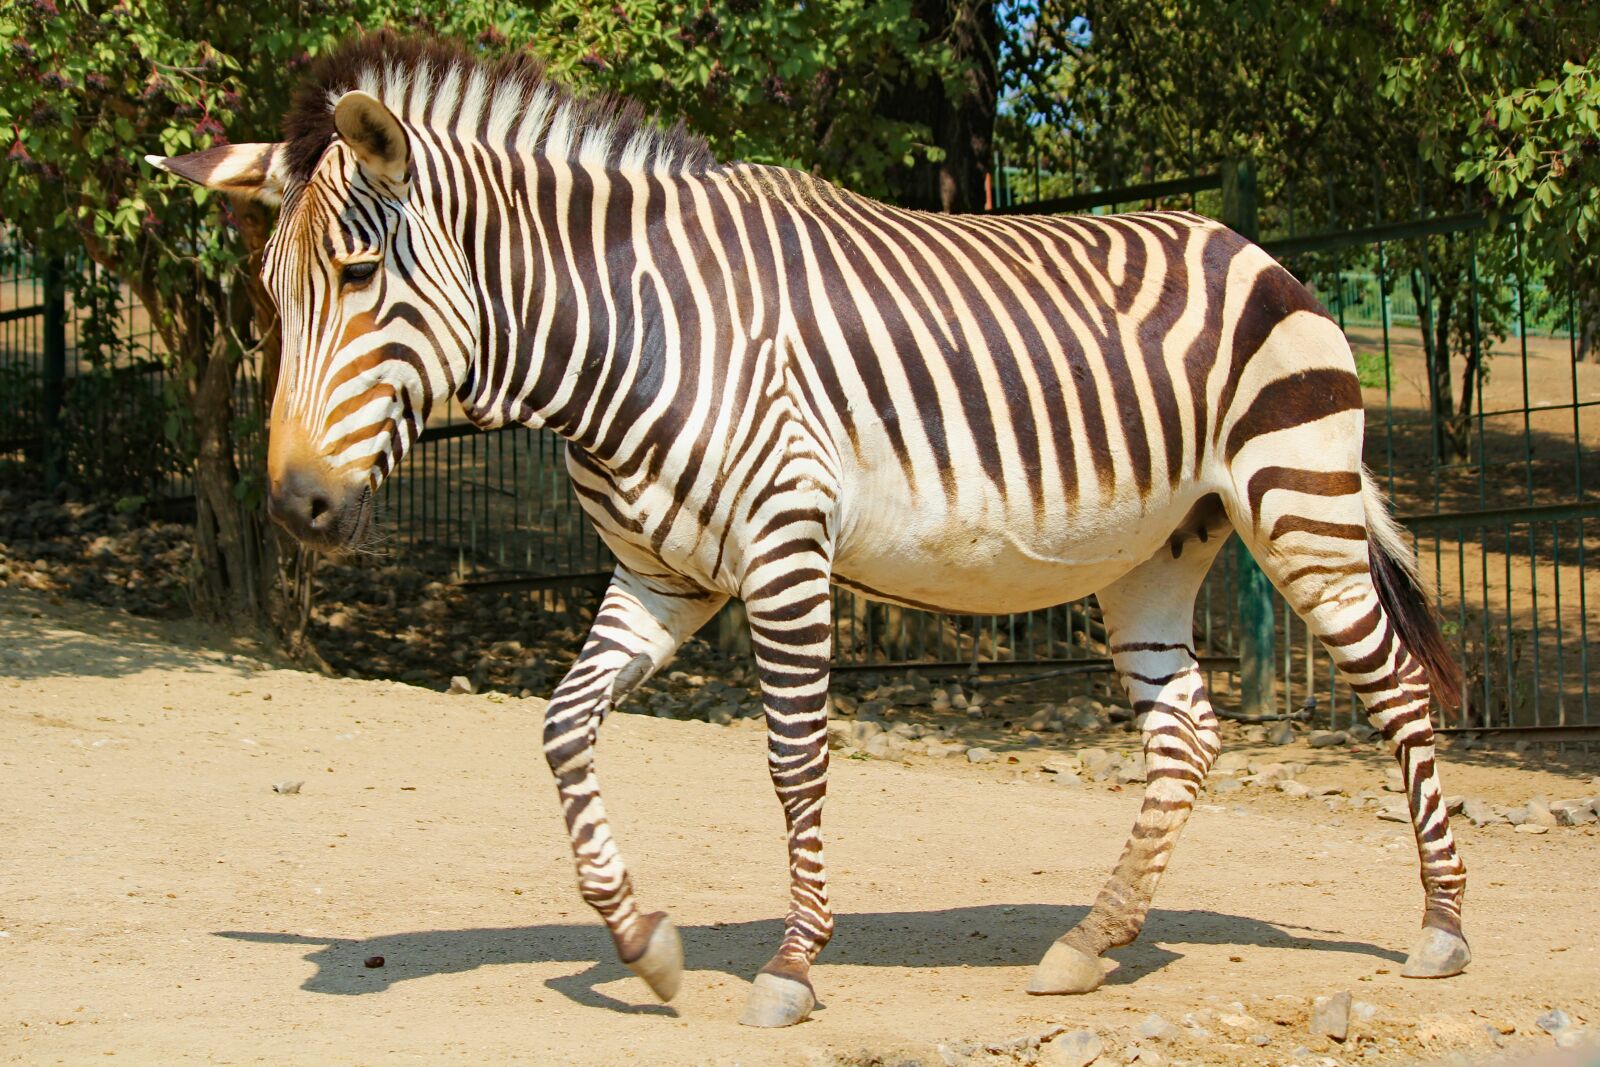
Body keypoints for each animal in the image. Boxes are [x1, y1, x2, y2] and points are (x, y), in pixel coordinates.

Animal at [147, 34, 1470, 1028]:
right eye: (271, 294)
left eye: (360, 275)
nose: (296, 510)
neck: (627, 334)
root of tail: (1251, 247)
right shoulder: (660, 576)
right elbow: (562, 726)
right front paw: (644, 941)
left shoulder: (785, 551)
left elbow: (793, 758)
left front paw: (789, 964)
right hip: (1153, 553)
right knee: (1186, 734)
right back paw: (1089, 943)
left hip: (1295, 503)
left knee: (1399, 692)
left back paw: (1442, 929)